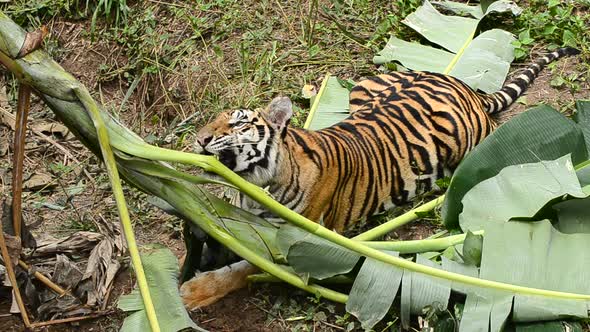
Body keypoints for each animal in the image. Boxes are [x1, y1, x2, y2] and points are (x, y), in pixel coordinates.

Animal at [183, 46, 580, 308]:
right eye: (213, 120)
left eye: (238, 124)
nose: (199, 139)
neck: (255, 184)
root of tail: (469, 90)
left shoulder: (294, 242)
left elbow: (244, 267)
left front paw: (194, 291)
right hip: (365, 88)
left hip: (474, 145)